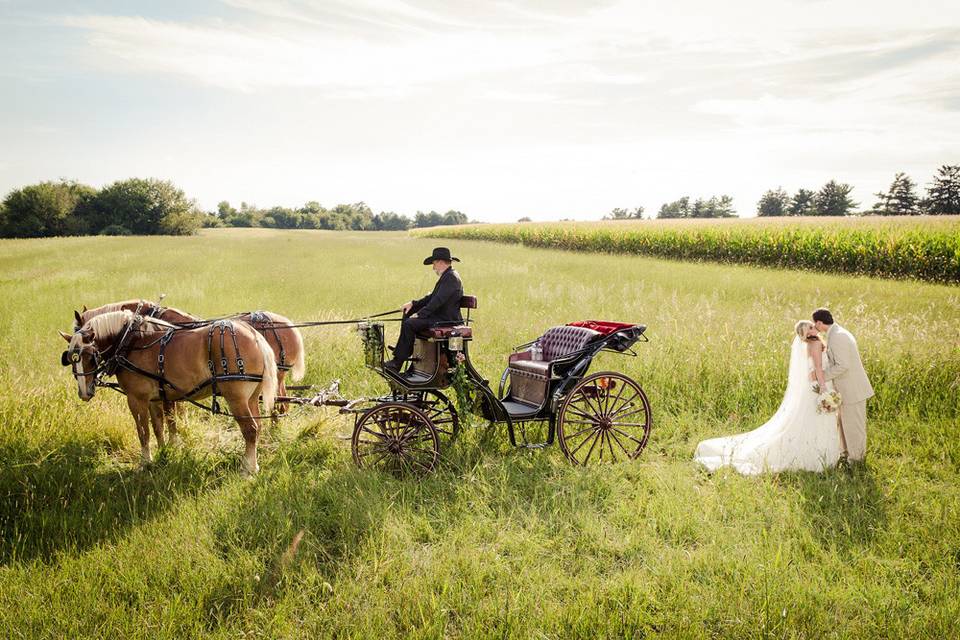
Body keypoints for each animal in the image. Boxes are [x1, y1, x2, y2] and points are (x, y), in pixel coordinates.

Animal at [62, 310, 276, 476]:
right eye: (70, 359)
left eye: (90, 356)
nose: (84, 392)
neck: (131, 342)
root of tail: (255, 336)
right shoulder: (154, 399)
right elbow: (158, 427)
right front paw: (164, 452)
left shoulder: (136, 399)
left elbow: (143, 432)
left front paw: (145, 462)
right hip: (251, 398)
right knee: (258, 427)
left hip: (236, 398)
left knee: (250, 430)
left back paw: (248, 469)